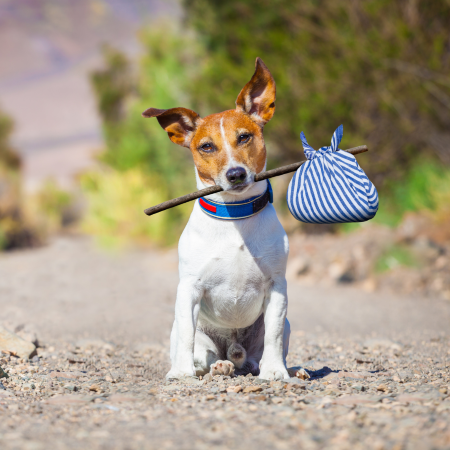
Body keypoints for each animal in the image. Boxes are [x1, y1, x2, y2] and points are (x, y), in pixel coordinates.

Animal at [144, 57, 292, 380]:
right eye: (207, 147)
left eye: (244, 137)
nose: (235, 174)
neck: (235, 217)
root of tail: (234, 350)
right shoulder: (189, 289)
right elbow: (187, 335)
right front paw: (181, 373)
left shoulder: (277, 286)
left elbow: (274, 333)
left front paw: (276, 371)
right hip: (191, 333)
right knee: (204, 354)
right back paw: (217, 366)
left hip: (278, 329)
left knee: (257, 355)